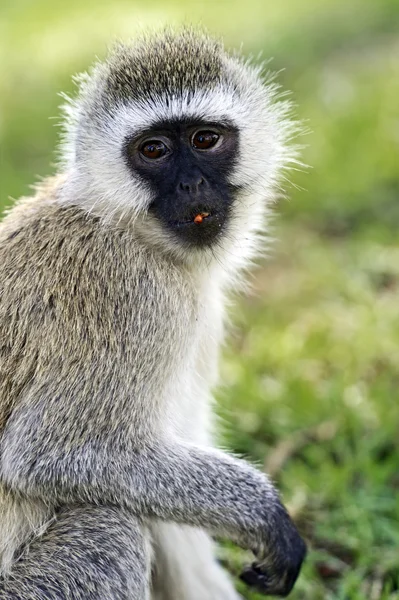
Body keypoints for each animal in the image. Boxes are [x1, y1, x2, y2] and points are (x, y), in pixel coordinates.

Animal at [0, 29, 306, 600]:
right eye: (154, 150)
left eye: (205, 140)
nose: (190, 186)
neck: (120, 224)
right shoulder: (129, 298)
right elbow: (50, 452)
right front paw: (263, 514)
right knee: (112, 528)